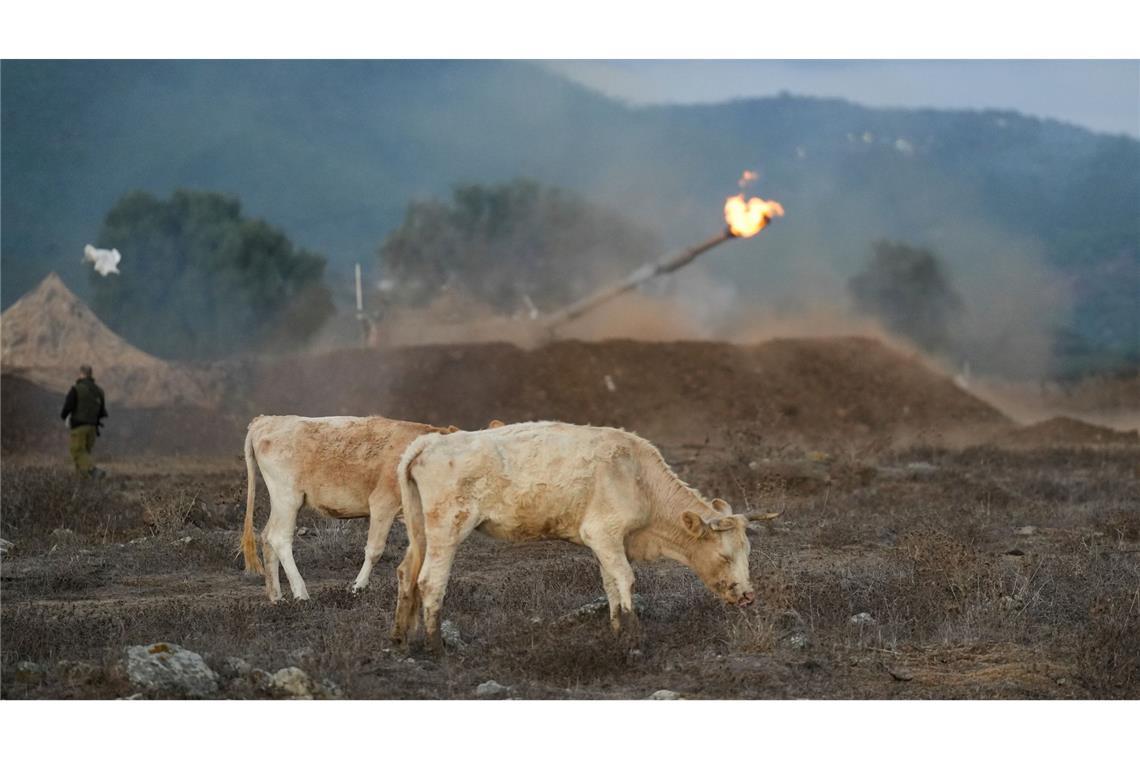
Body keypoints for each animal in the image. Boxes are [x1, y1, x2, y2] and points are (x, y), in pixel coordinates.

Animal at [242, 417, 456, 601]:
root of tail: (266, 420)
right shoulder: (383, 503)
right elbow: (374, 550)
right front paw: (357, 587)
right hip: (287, 498)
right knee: (279, 538)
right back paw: (301, 594)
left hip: (280, 502)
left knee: (266, 537)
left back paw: (276, 597)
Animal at [392, 419, 756, 651]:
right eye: (724, 555)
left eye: (747, 552)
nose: (748, 595)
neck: (639, 478)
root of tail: (431, 442)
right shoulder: (604, 533)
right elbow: (626, 579)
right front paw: (635, 639)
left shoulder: (605, 542)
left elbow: (610, 584)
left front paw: (616, 631)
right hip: (447, 528)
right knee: (430, 581)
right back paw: (437, 646)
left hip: (419, 530)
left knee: (406, 573)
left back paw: (401, 639)